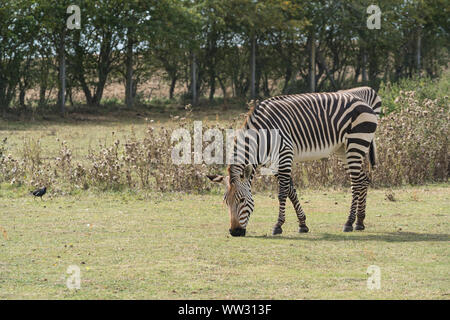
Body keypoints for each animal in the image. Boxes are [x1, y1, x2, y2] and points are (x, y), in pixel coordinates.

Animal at [207, 89, 380, 236]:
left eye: (242, 200)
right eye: (226, 202)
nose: (234, 232)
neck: (262, 137)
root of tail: (362, 101)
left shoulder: (284, 154)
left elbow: (283, 192)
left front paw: (278, 225)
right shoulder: (274, 163)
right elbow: (291, 191)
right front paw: (302, 224)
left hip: (356, 142)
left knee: (356, 183)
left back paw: (349, 222)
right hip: (343, 149)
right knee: (362, 180)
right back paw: (359, 221)